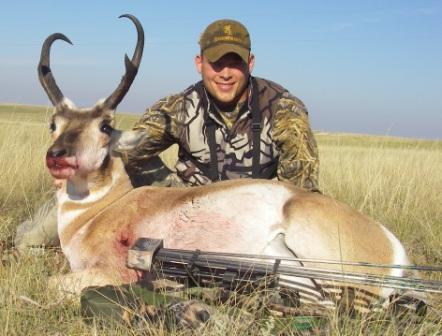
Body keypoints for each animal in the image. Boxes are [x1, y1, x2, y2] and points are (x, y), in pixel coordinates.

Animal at [39, 15, 420, 310]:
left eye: (105, 125)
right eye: (54, 124)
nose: (57, 156)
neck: (103, 209)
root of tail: (392, 248)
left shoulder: (109, 271)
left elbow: (53, 284)